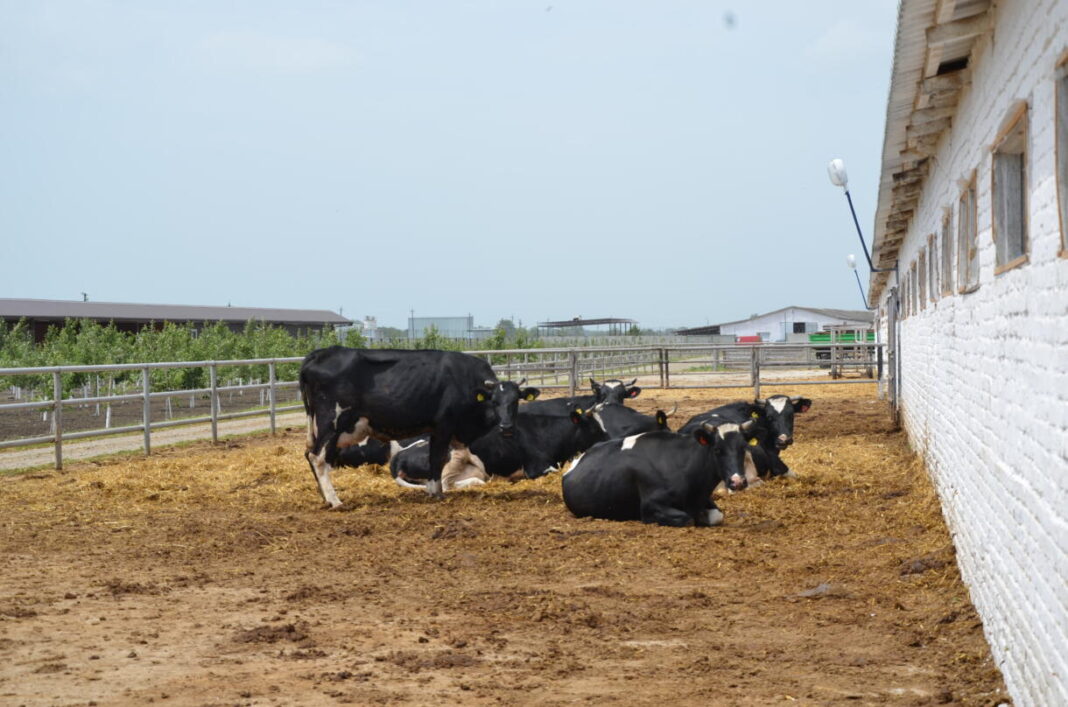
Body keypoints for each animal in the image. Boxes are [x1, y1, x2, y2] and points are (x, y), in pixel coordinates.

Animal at [299, 343, 534, 506]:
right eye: (494, 401)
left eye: (515, 401)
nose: (507, 427)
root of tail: (321, 353)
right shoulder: (443, 426)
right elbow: (437, 459)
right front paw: (436, 493)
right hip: (331, 422)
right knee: (318, 458)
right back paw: (334, 500)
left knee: (309, 455)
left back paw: (325, 498)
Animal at [563, 418, 756, 529]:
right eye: (717, 450)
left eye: (743, 448)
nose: (738, 482)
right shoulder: (650, 506)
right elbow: (687, 519)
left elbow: (717, 516)